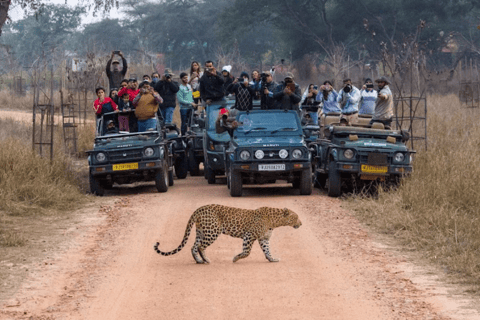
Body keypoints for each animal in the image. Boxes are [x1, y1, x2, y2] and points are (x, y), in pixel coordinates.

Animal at [154, 204, 302, 264]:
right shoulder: (249, 235)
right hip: (213, 231)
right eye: (296, 217)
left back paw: (199, 261)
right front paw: (236, 258)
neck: (275, 221)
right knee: (201, 246)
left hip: (202, 231)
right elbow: (247, 251)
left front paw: (272, 259)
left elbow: (267, 251)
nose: (301, 224)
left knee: (193, 247)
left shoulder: (264, 238)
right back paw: (206, 260)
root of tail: (199, 209)